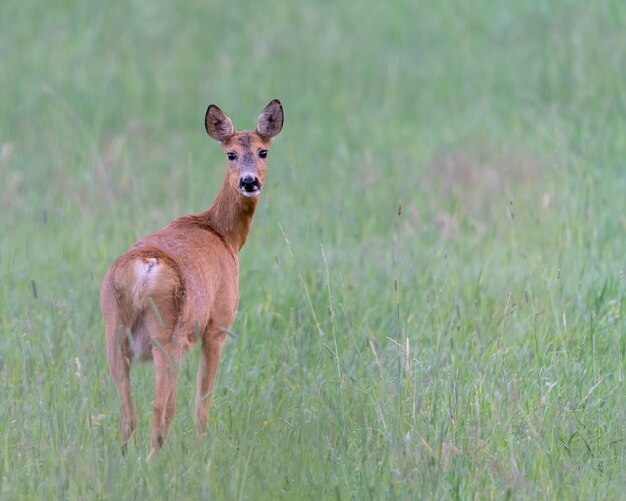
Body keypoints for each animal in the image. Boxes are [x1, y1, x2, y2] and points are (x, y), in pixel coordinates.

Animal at [100, 98, 282, 454]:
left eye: (263, 151)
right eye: (231, 154)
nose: (249, 182)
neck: (224, 235)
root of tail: (144, 269)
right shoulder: (218, 324)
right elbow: (202, 401)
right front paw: (202, 448)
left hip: (114, 331)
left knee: (129, 415)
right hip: (166, 337)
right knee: (159, 411)